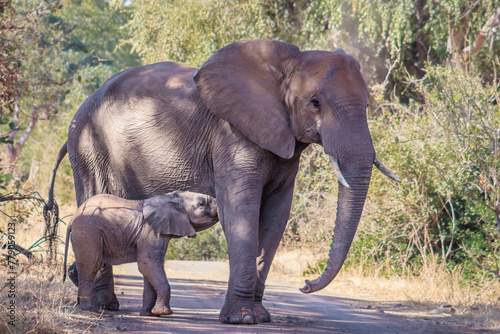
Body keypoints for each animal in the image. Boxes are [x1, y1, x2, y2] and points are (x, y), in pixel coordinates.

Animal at [63, 190, 219, 316]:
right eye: (201, 203)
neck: (170, 198)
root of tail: (73, 217)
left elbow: (149, 269)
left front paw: (148, 314)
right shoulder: (150, 232)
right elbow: (148, 265)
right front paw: (164, 313)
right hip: (88, 232)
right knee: (91, 266)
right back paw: (89, 310)